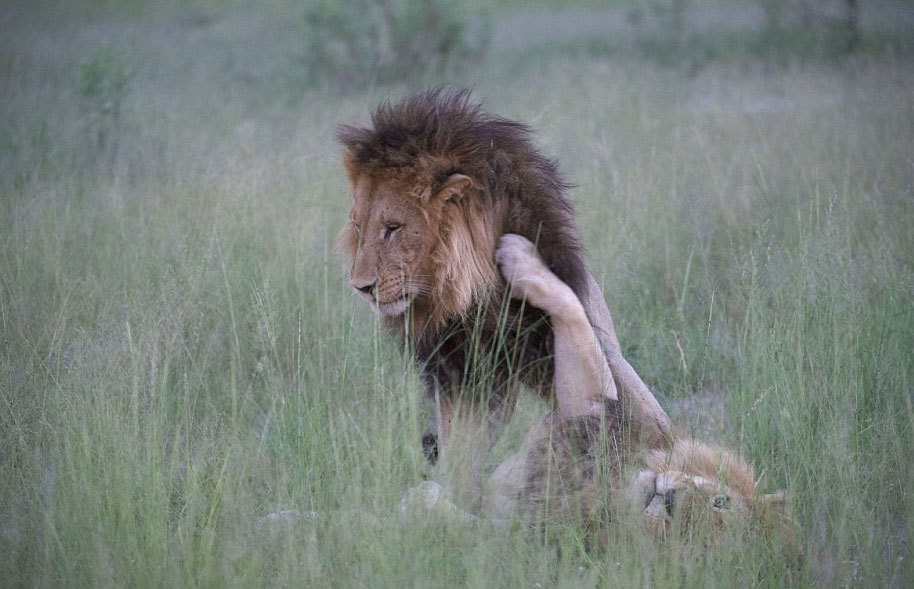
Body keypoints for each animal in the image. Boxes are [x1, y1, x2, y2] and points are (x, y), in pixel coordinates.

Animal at [334, 90, 668, 500]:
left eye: (393, 228)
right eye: (357, 228)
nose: (361, 287)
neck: (481, 300)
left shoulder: (621, 391)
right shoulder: (464, 381)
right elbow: (460, 464)